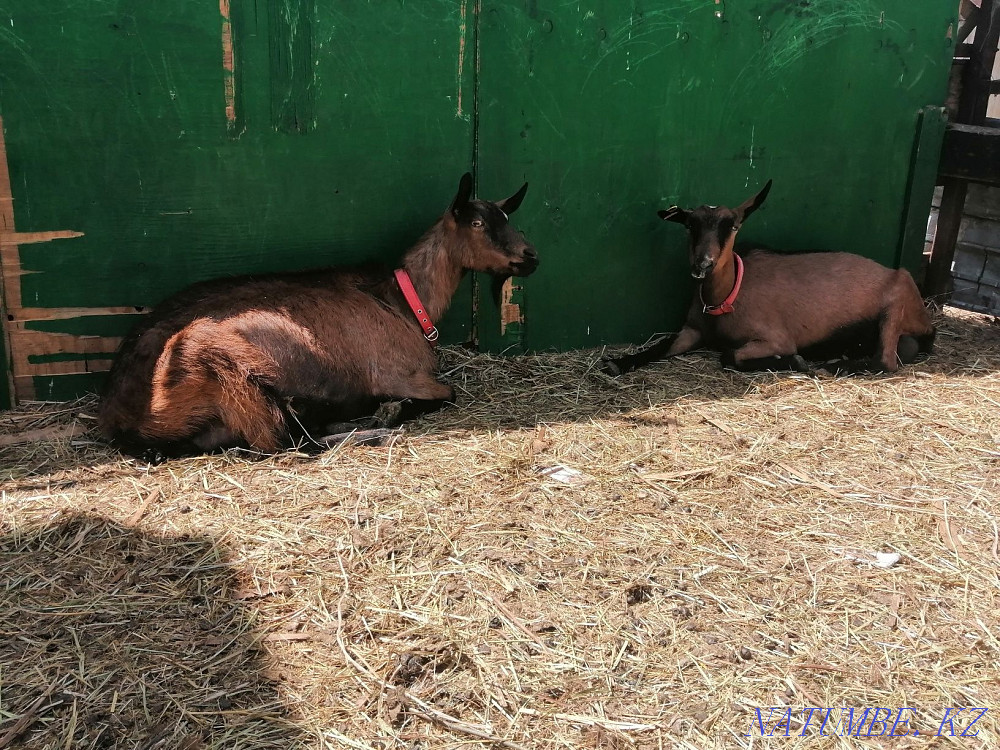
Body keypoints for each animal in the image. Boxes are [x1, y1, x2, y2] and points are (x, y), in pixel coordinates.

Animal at [98, 173, 537, 458]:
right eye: (478, 222)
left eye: (508, 219)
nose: (531, 256)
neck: (404, 301)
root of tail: (123, 417)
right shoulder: (399, 375)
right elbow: (447, 394)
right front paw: (391, 411)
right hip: (227, 369)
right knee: (288, 444)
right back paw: (375, 430)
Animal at [602, 180, 935, 376]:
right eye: (690, 225)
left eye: (731, 226)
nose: (703, 264)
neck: (726, 298)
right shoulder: (692, 330)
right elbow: (661, 345)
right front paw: (618, 363)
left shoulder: (777, 338)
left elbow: (730, 356)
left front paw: (795, 362)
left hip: (895, 301)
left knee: (886, 360)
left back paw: (835, 365)